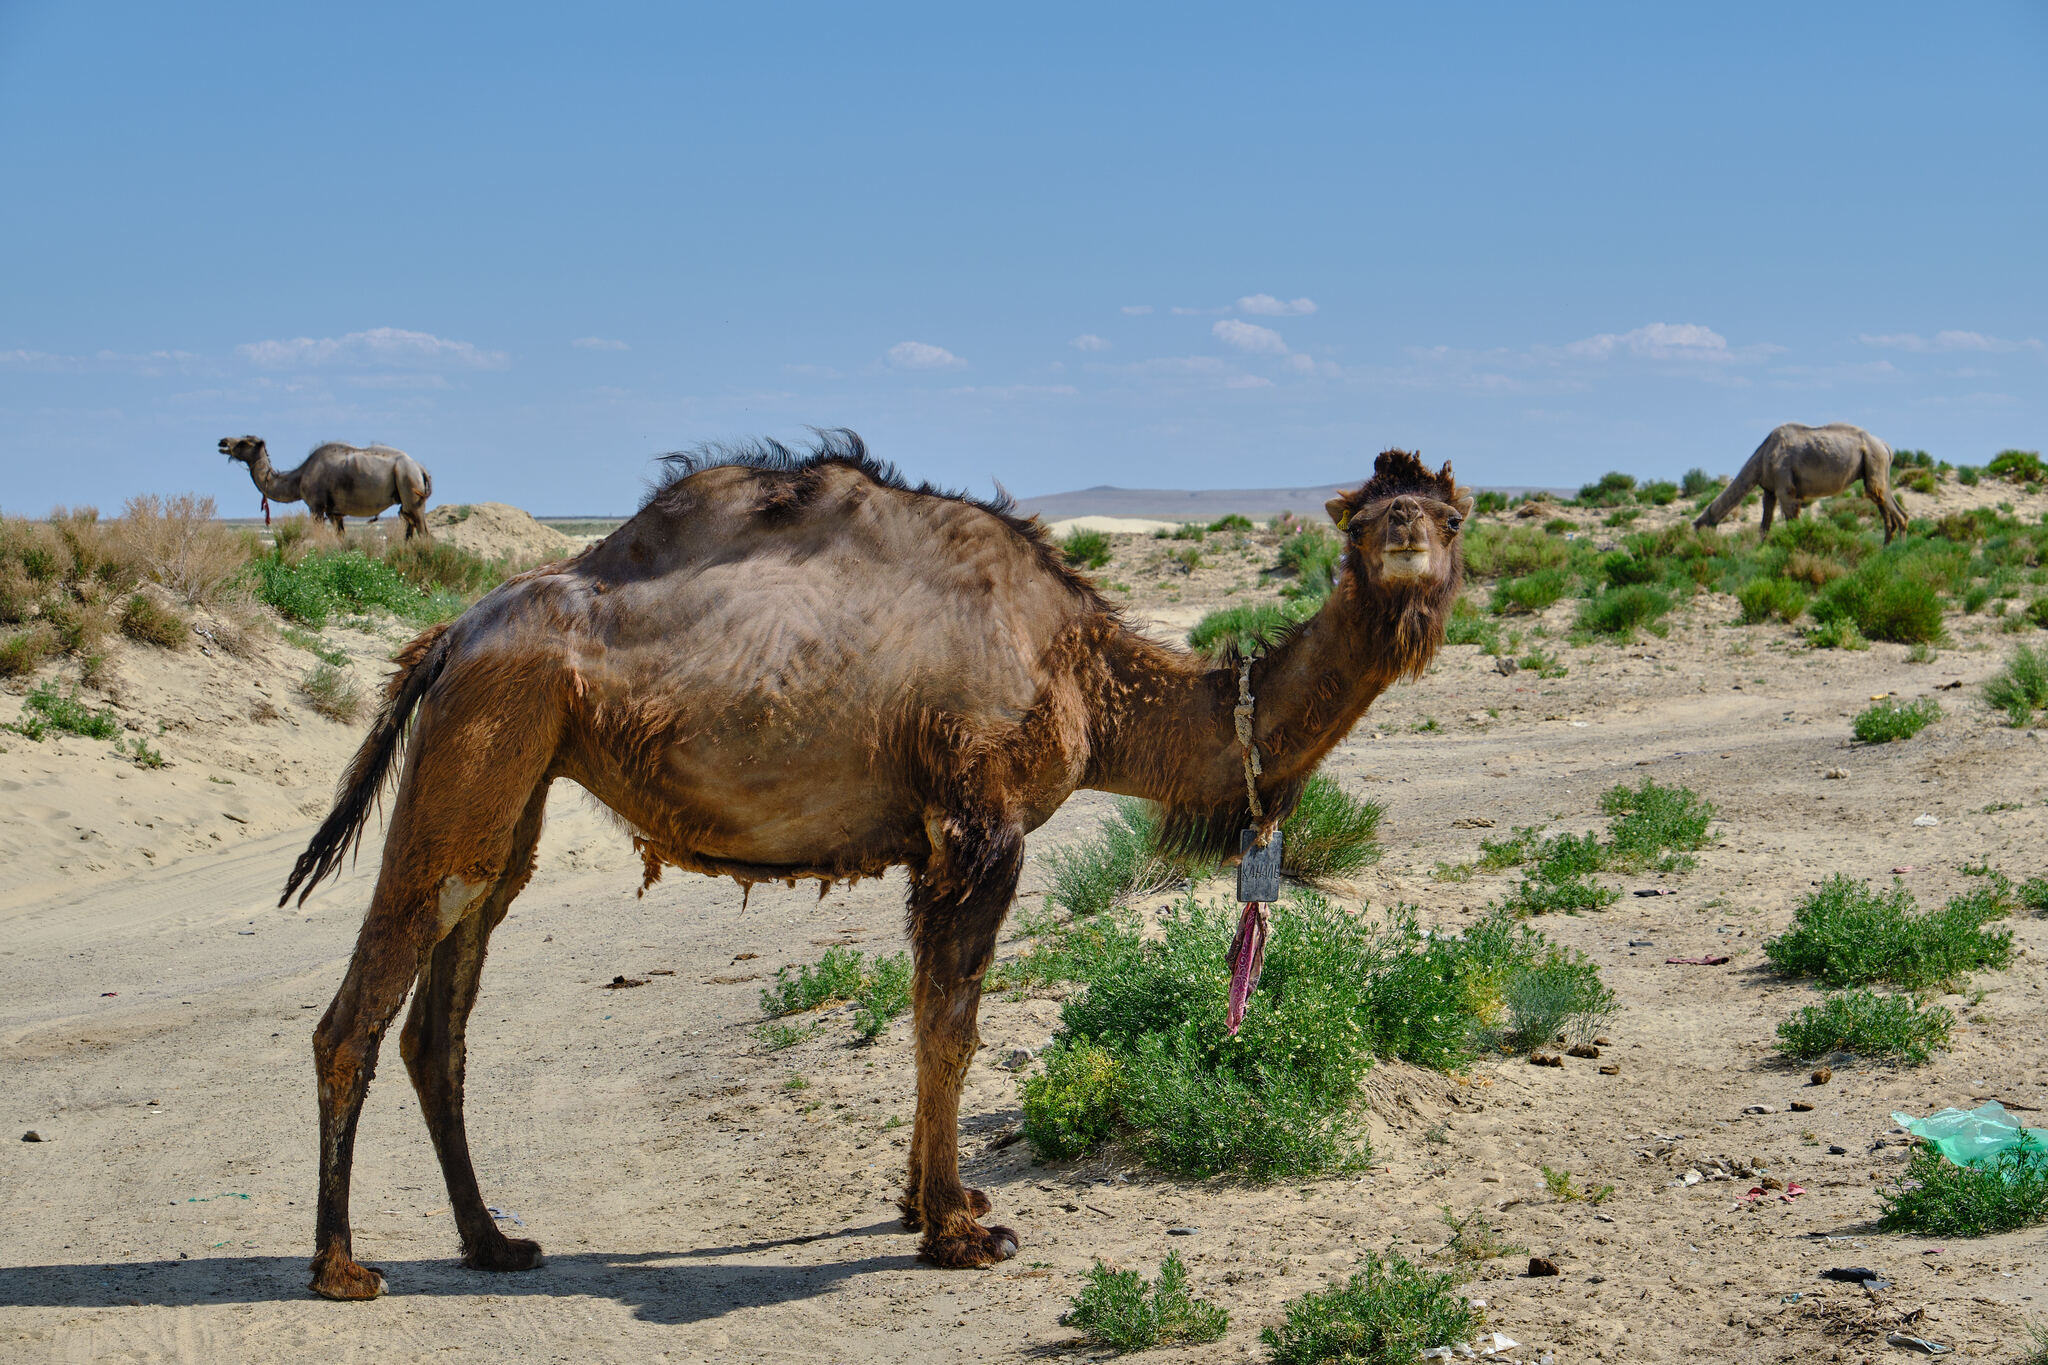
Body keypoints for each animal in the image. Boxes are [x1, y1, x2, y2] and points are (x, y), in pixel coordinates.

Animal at [220, 439, 432, 540]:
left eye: (245, 442)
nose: (223, 442)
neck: (300, 476)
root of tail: (420, 468)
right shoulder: (334, 512)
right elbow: (341, 540)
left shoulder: (316, 506)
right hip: (407, 493)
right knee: (410, 527)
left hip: (409, 483)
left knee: (423, 530)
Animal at [284, 429, 1474, 1301]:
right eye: (1361, 513)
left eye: (1452, 512)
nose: (1404, 536)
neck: (1084, 672)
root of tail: (449, 632)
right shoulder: (981, 822)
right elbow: (952, 1026)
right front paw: (958, 1230)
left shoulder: (934, 842)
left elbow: (922, 1014)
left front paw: (927, 1204)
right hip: (482, 739)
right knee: (362, 1006)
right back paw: (341, 1267)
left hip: (518, 775)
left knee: (442, 1015)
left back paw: (493, 1242)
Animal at [1687, 421, 1908, 540]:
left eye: (1698, 529)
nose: (1697, 546)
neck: (1762, 458)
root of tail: (1886, 447)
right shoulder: (1769, 491)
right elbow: (1764, 527)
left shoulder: (1786, 490)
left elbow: (1791, 523)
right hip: (1875, 471)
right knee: (1886, 507)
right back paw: (1885, 550)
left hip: (1874, 461)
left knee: (1898, 514)